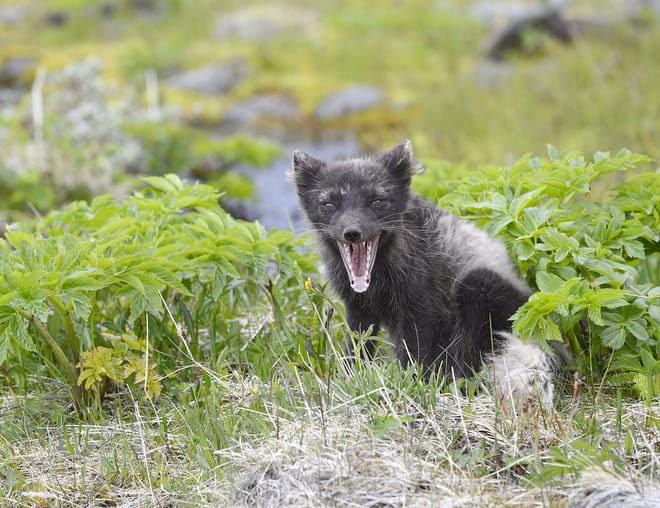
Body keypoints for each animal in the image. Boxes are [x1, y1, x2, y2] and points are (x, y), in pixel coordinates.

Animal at [292, 140, 564, 410]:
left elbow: (413, 353)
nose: (352, 232)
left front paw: (410, 387)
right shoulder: (358, 308)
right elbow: (356, 348)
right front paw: (349, 382)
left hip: (478, 286)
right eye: (328, 204)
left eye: (377, 201)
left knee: (465, 356)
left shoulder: (420, 307)